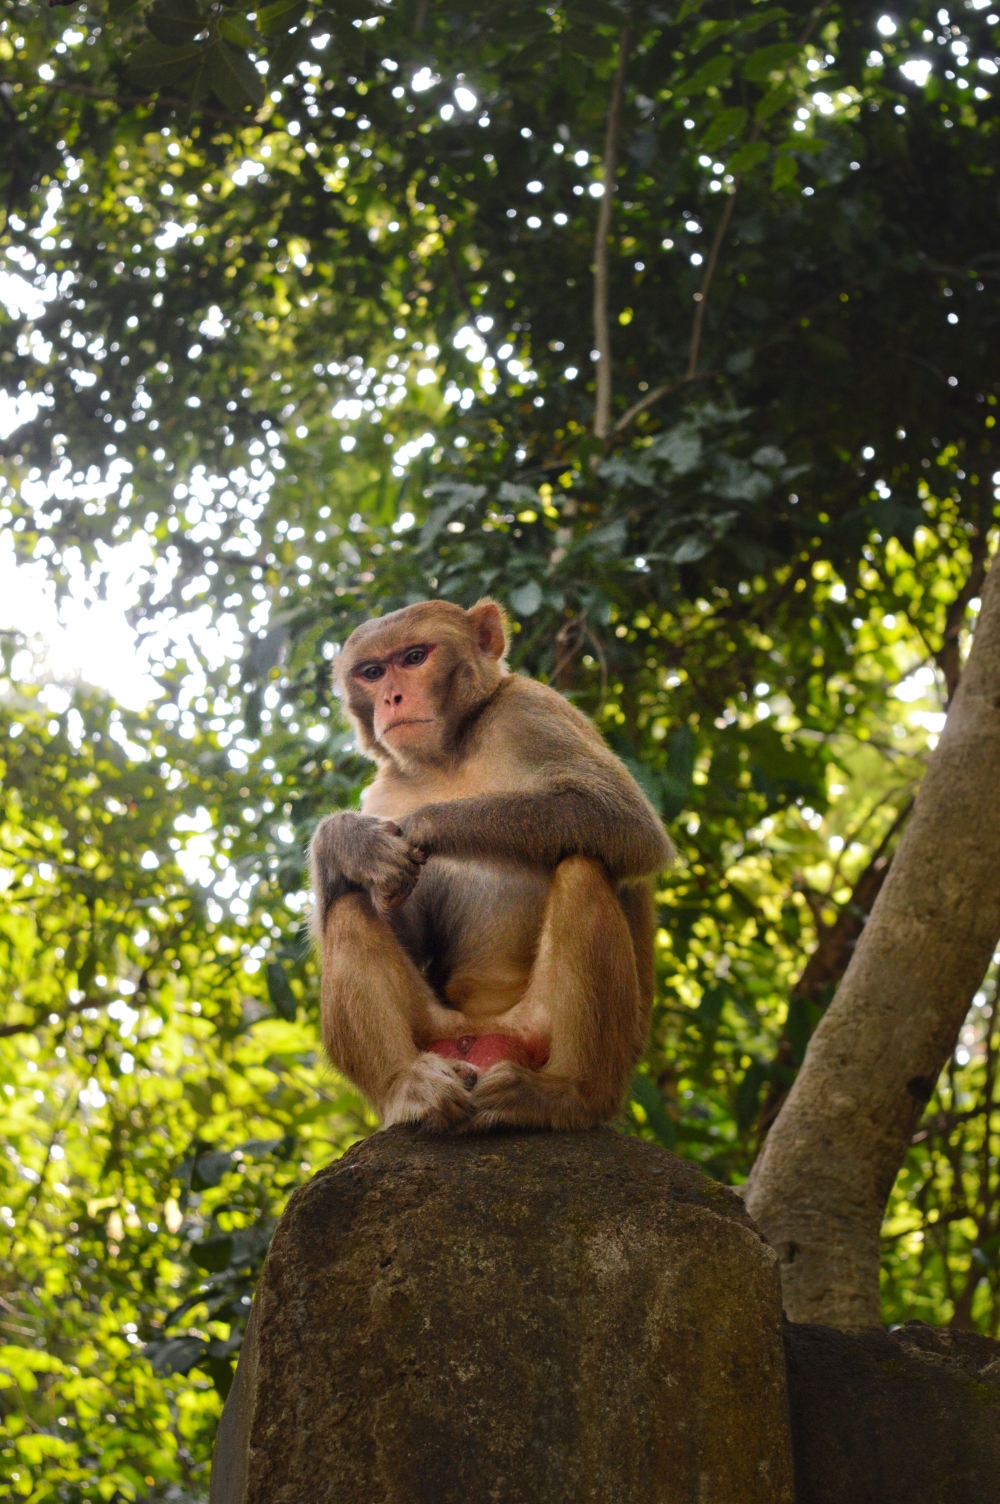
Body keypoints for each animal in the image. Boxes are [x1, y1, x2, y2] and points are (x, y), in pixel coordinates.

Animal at [308, 597, 674, 1132]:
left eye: (414, 657)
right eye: (372, 672)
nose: (392, 698)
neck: (448, 757)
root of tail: (482, 1033)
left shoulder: (534, 709)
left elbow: (626, 823)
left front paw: (425, 824)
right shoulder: (384, 788)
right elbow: (394, 917)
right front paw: (347, 841)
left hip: (542, 1034)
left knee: (582, 868)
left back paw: (566, 1097)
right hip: (437, 1034)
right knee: (349, 903)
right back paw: (405, 1089)